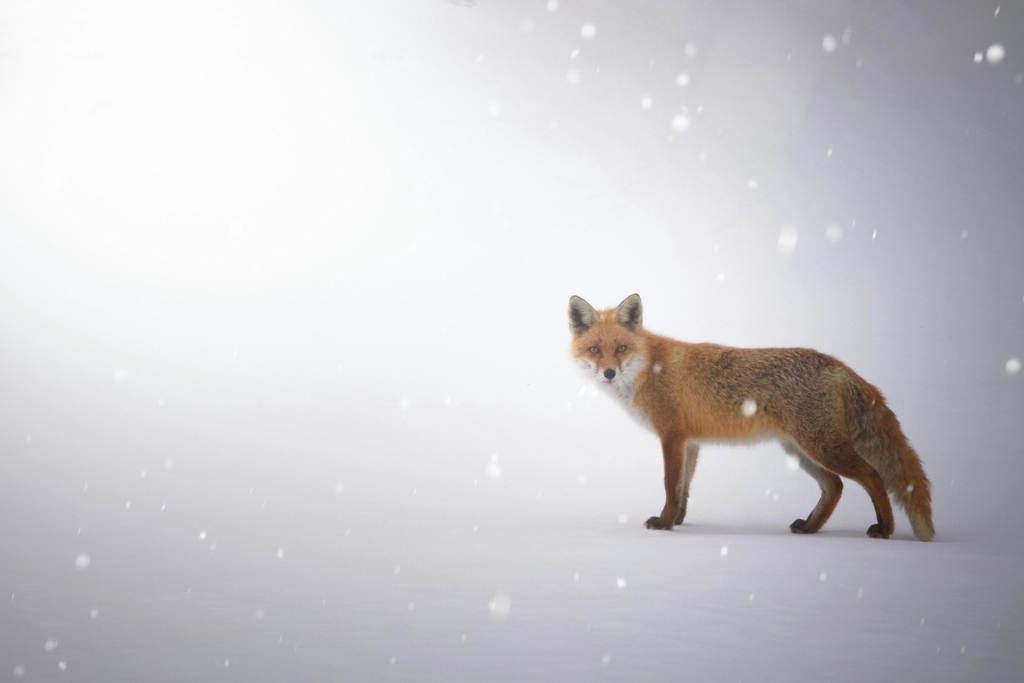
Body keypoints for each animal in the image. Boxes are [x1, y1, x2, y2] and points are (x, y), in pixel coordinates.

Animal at [568, 293, 934, 541]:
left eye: (621, 349)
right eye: (595, 350)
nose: (609, 373)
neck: (648, 368)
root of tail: (837, 365)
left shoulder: (671, 434)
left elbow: (671, 485)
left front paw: (663, 523)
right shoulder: (690, 441)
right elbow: (684, 487)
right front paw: (678, 522)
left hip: (821, 446)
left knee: (872, 476)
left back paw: (884, 528)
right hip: (800, 449)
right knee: (835, 486)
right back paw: (809, 527)